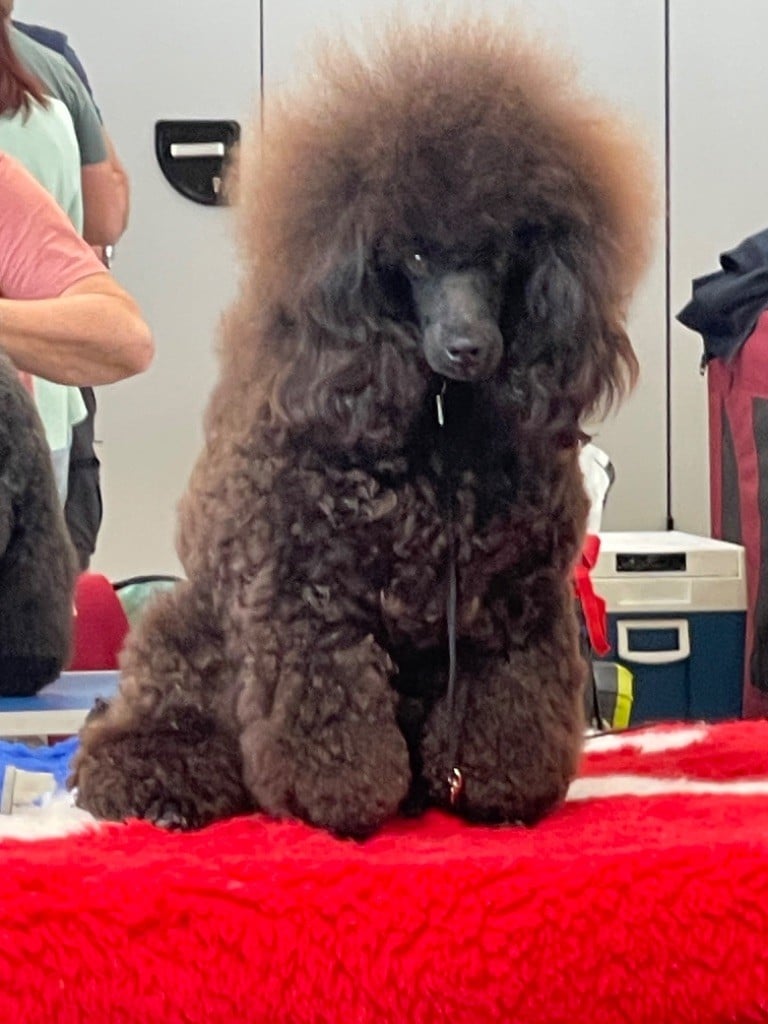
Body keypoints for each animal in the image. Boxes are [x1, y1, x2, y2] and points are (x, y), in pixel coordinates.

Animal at [71, 18, 654, 837]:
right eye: (412, 252)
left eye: (501, 251)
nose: (469, 347)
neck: (438, 431)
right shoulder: (307, 599)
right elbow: (332, 720)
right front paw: (344, 808)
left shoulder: (517, 604)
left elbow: (510, 712)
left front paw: (503, 797)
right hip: (188, 632)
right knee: (141, 730)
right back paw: (159, 787)